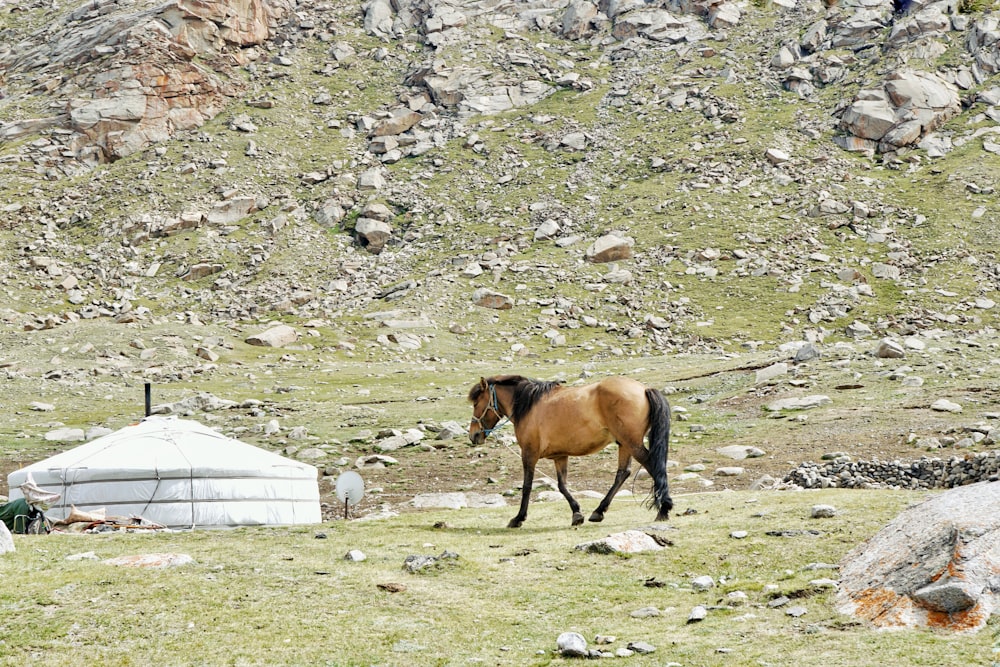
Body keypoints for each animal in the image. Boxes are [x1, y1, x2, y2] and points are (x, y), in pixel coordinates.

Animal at [466, 376, 672, 528]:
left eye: (476, 403)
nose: (473, 435)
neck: (529, 405)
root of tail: (644, 388)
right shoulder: (560, 456)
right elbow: (562, 485)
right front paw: (577, 513)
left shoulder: (529, 454)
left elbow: (527, 486)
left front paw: (518, 518)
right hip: (624, 444)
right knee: (623, 473)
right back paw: (598, 511)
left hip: (632, 443)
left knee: (653, 466)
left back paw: (664, 508)